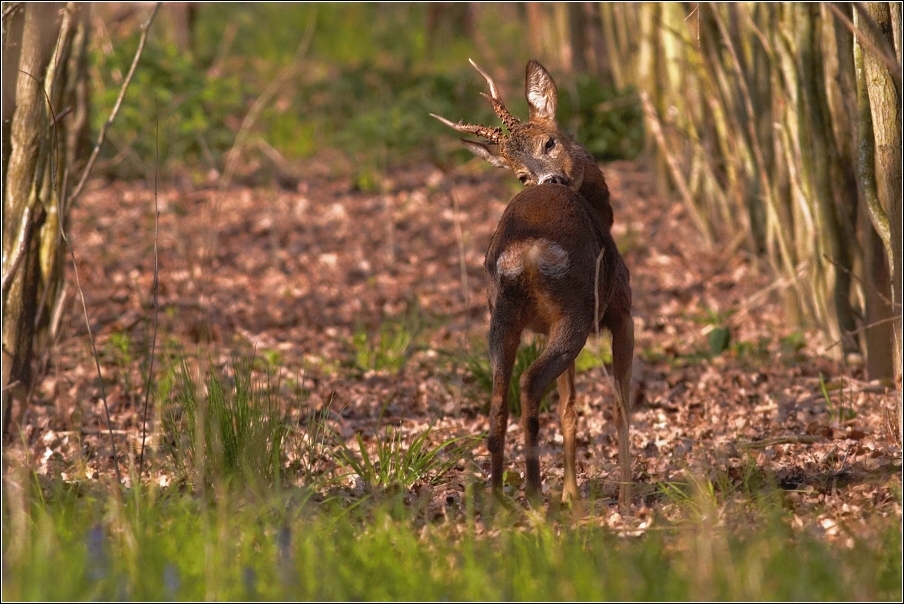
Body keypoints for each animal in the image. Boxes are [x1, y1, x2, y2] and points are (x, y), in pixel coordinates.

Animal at [432, 61, 636, 508]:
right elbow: (619, 405)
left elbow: (570, 407)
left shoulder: (543, 327)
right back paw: (534, 492)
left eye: (550, 142)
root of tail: (524, 252)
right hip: (577, 310)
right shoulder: (622, 310)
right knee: (528, 383)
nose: (552, 180)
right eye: (521, 174)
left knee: (498, 401)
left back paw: (499, 500)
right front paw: (626, 498)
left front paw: (572, 495)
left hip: (502, 314)